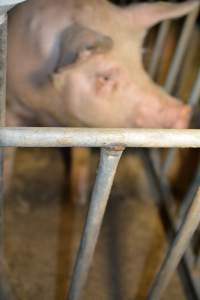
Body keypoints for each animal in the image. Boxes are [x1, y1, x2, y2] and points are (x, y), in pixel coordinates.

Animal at [5, 0, 199, 204]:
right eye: (105, 77)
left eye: (140, 60)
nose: (183, 110)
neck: (50, 111)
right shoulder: (12, 105)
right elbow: (8, 152)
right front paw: (5, 193)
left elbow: (81, 158)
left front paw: (79, 200)